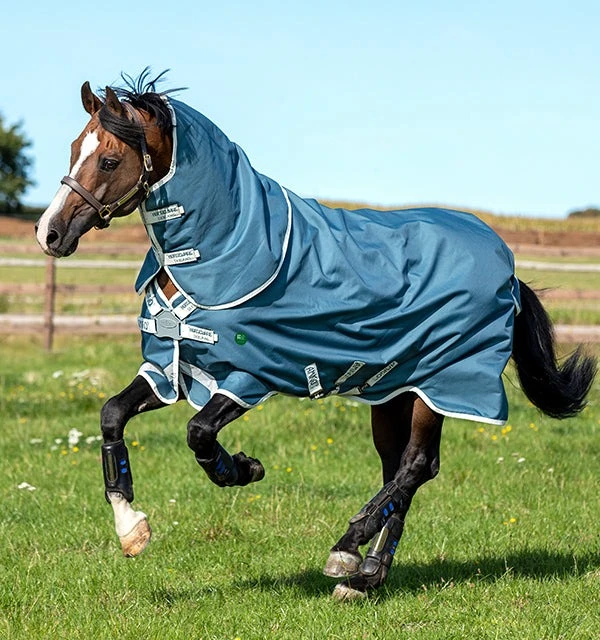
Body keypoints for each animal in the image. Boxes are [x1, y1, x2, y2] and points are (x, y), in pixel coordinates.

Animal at [35, 71, 596, 600]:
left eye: (109, 161)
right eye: (73, 149)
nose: (49, 233)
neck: (224, 252)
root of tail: (508, 270)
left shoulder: (249, 376)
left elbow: (198, 433)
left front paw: (242, 469)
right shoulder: (173, 367)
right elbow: (112, 414)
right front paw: (132, 530)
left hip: (440, 385)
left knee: (417, 465)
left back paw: (348, 550)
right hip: (393, 390)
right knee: (400, 469)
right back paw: (366, 576)